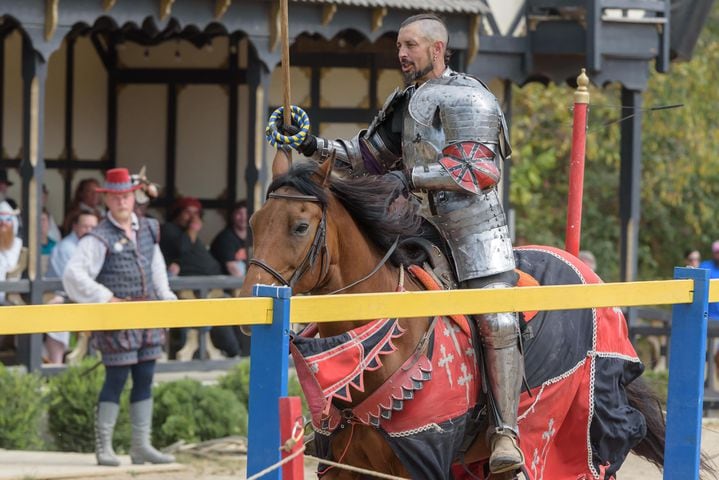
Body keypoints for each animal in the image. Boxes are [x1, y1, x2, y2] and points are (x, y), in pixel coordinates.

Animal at [242, 160, 668, 480]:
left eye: (300, 226)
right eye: (255, 223)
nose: (249, 298)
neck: (379, 347)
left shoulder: (422, 462)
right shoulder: (344, 468)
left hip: (579, 434)